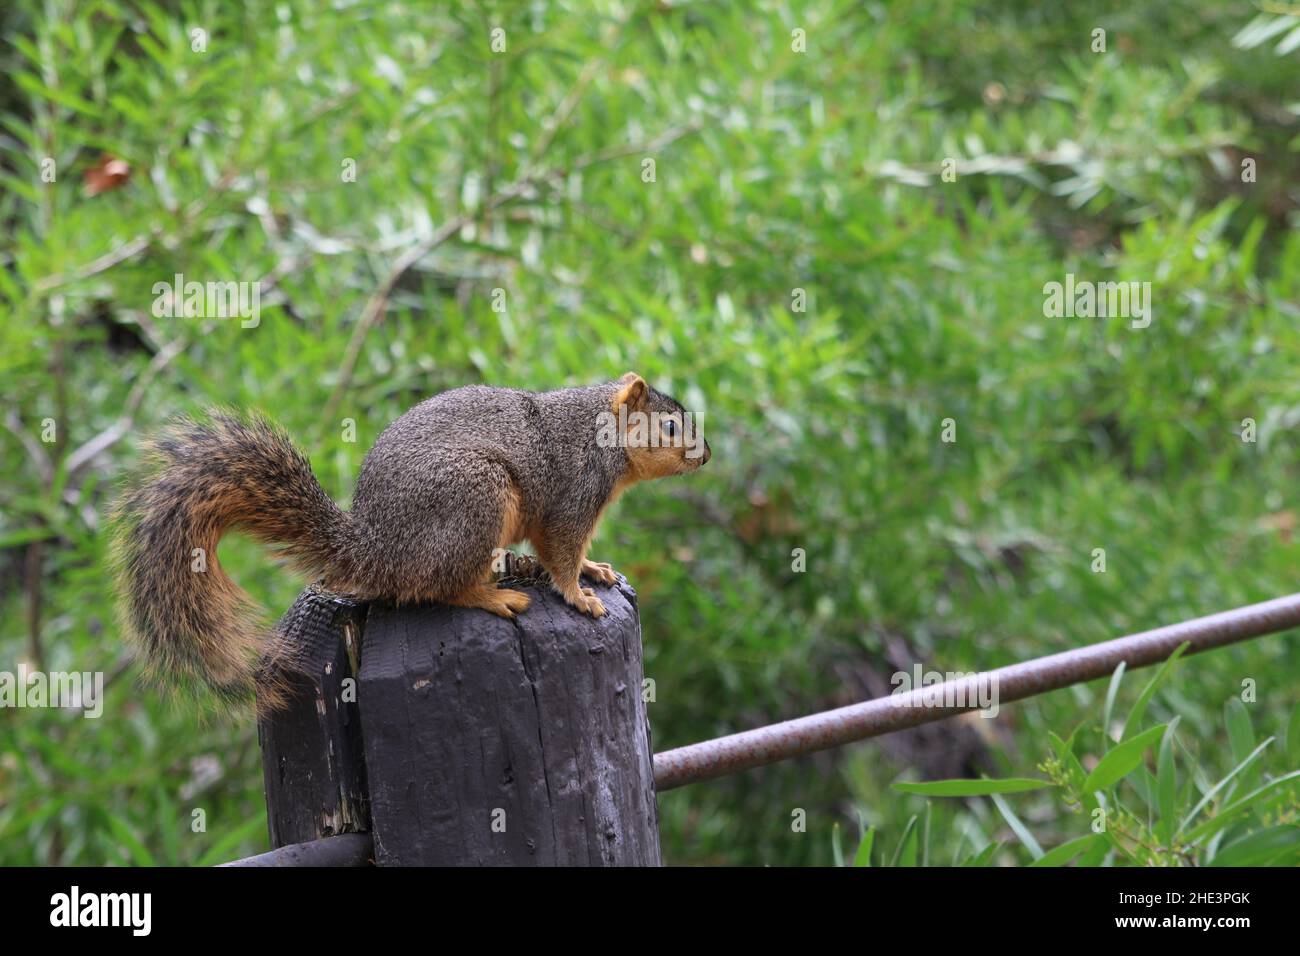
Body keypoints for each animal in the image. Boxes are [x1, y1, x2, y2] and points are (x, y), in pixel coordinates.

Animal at [110, 374, 712, 712]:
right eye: (671, 428)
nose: (705, 456)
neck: (599, 431)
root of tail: (375, 548)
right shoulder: (571, 496)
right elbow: (561, 551)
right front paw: (580, 595)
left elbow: (574, 553)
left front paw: (597, 570)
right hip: (474, 498)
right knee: (439, 587)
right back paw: (494, 595)